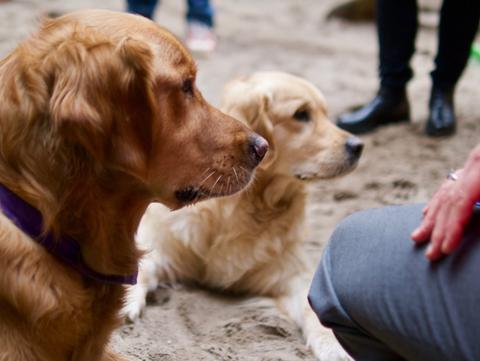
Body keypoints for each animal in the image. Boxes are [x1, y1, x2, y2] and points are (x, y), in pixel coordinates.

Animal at [125, 71, 362, 358]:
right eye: (301, 114)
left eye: (326, 114)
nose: (358, 146)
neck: (250, 203)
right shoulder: (163, 242)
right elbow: (140, 265)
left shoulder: (290, 272)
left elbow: (313, 306)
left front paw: (333, 345)